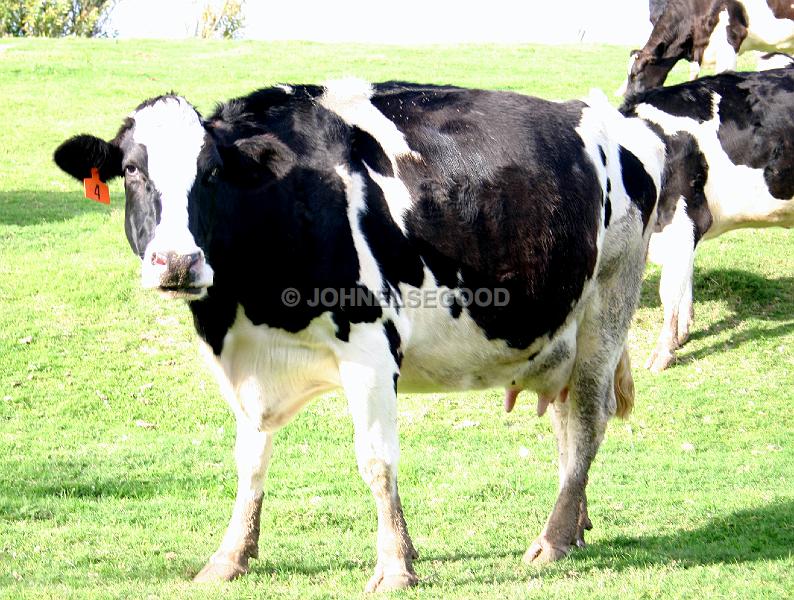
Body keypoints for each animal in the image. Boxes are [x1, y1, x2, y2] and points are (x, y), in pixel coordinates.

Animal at [52, 79, 664, 592]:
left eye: (210, 173)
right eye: (133, 170)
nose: (178, 262)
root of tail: (611, 116)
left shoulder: (370, 349)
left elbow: (376, 460)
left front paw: (395, 566)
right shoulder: (247, 365)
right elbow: (249, 461)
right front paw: (229, 558)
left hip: (610, 302)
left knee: (586, 419)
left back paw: (553, 539)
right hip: (561, 324)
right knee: (566, 419)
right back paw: (575, 521)